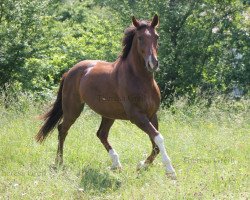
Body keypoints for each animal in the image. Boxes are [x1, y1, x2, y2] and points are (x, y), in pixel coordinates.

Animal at [36, 14, 177, 179]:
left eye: (157, 36)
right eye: (140, 38)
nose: (153, 63)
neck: (140, 80)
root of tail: (70, 71)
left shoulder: (152, 114)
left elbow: (155, 143)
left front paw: (142, 165)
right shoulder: (137, 116)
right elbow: (158, 138)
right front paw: (170, 171)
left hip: (108, 114)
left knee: (101, 134)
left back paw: (116, 164)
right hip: (73, 109)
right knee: (62, 129)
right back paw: (59, 162)